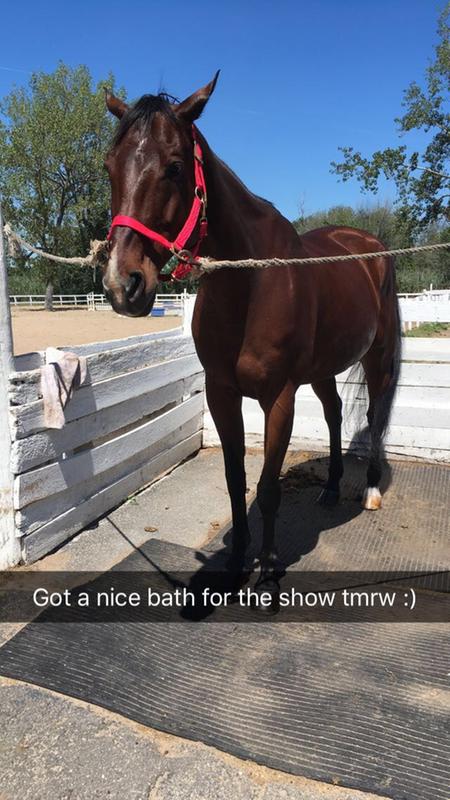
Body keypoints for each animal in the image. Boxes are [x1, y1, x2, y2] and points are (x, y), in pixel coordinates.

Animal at [102, 74, 401, 589]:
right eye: (109, 167)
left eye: (175, 167)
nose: (124, 284)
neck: (251, 284)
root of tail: (369, 245)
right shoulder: (222, 393)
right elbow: (236, 480)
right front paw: (236, 563)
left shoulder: (278, 398)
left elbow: (266, 487)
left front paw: (266, 570)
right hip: (323, 369)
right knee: (334, 414)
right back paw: (331, 488)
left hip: (377, 357)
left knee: (376, 414)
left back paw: (370, 491)